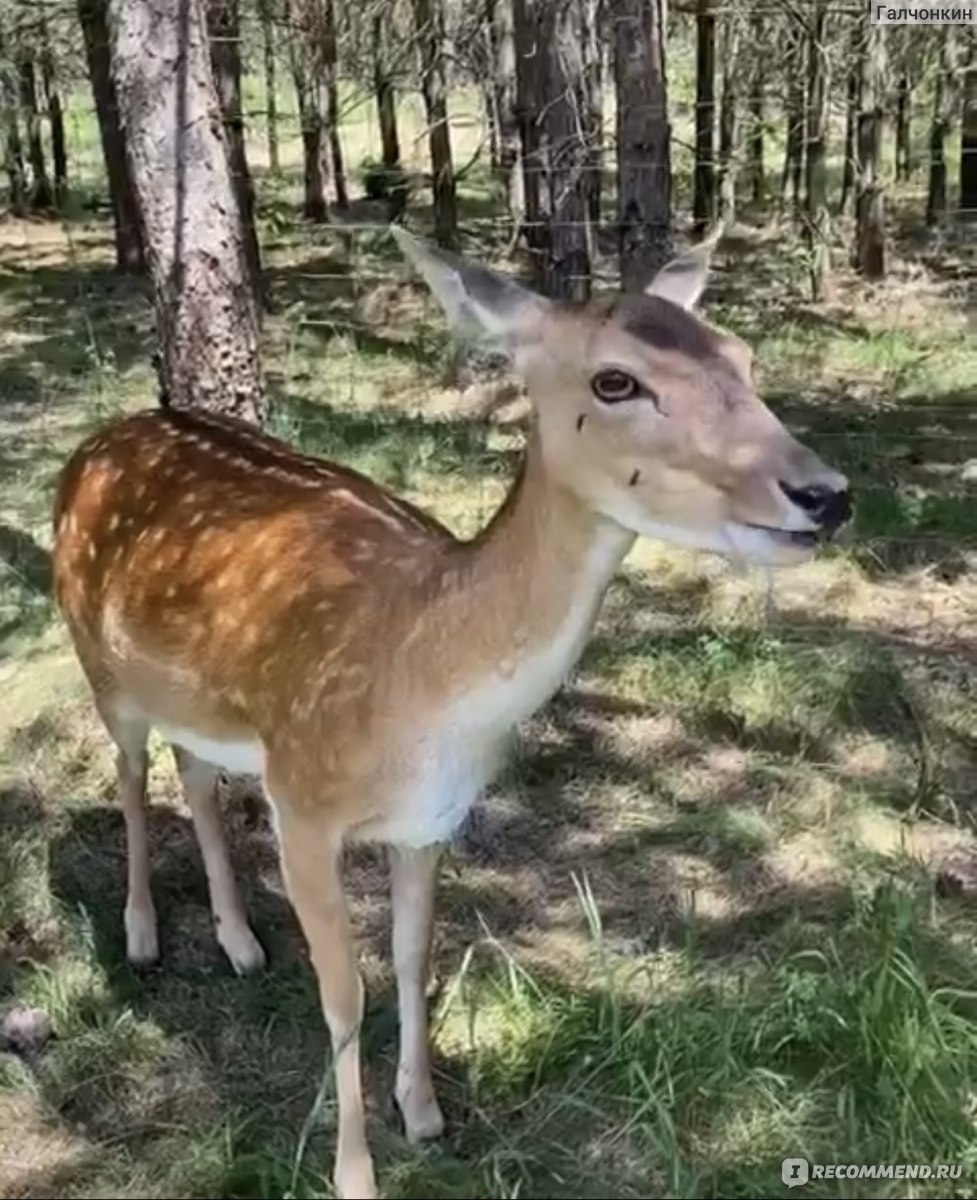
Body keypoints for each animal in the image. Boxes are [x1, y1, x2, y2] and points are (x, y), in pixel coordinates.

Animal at [49, 226, 854, 1200]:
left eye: (741, 356)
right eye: (614, 381)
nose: (824, 492)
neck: (423, 695)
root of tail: (96, 441)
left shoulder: (431, 819)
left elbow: (411, 956)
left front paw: (425, 1113)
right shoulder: (303, 803)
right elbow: (343, 992)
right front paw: (353, 1173)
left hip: (200, 699)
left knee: (193, 773)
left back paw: (239, 942)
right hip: (97, 660)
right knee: (130, 776)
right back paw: (140, 936)